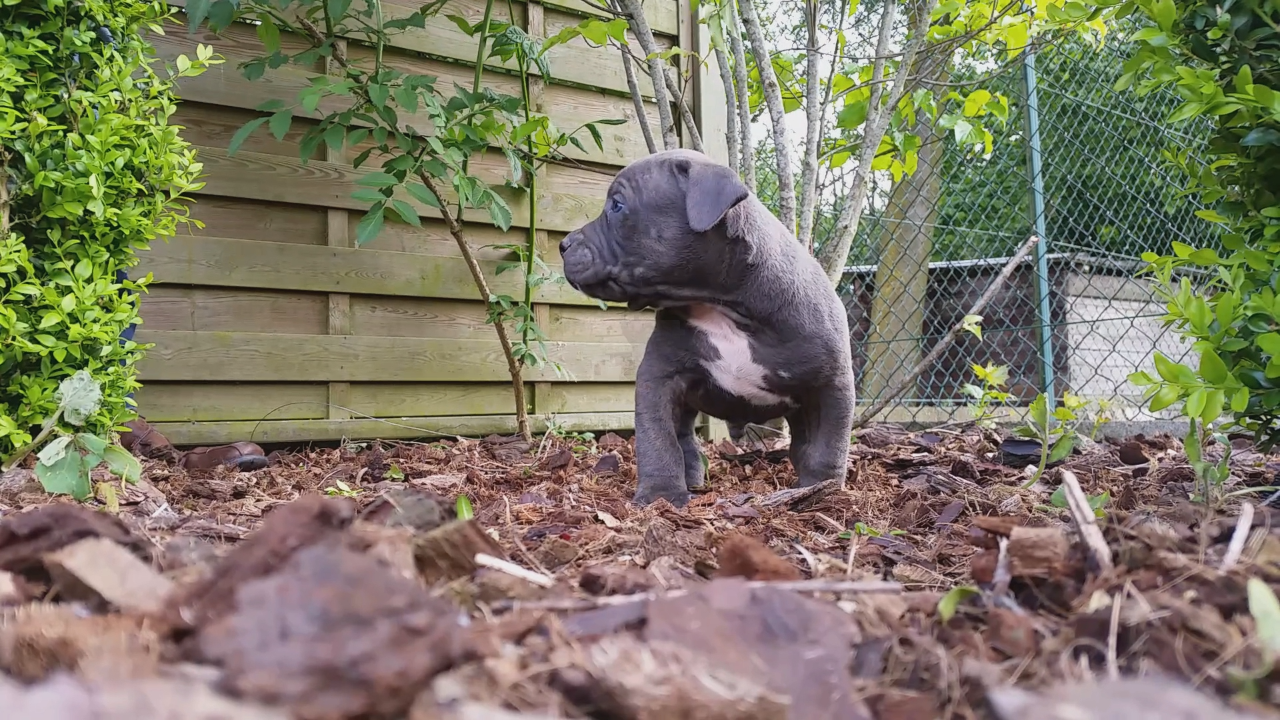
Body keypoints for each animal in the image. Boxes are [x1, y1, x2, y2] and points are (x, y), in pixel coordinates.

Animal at [558, 146, 849, 504]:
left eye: (617, 205)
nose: (563, 244)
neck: (719, 303)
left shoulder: (832, 384)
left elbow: (829, 445)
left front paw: (824, 488)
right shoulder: (659, 378)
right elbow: (658, 440)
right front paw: (660, 495)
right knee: (683, 435)